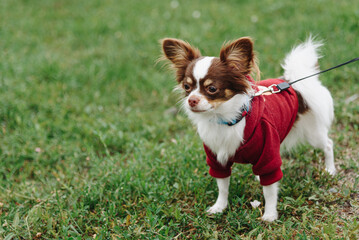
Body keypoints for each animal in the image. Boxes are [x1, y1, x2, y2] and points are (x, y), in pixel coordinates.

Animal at [162, 36, 336, 222]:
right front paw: (219, 207)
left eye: (212, 89)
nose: (191, 100)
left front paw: (269, 215)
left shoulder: (268, 153)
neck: (225, 120)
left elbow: (269, 191)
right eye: (187, 87)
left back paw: (330, 170)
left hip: (312, 133)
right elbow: (222, 186)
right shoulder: (217, 158)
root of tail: (293, 83)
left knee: (328, 144)